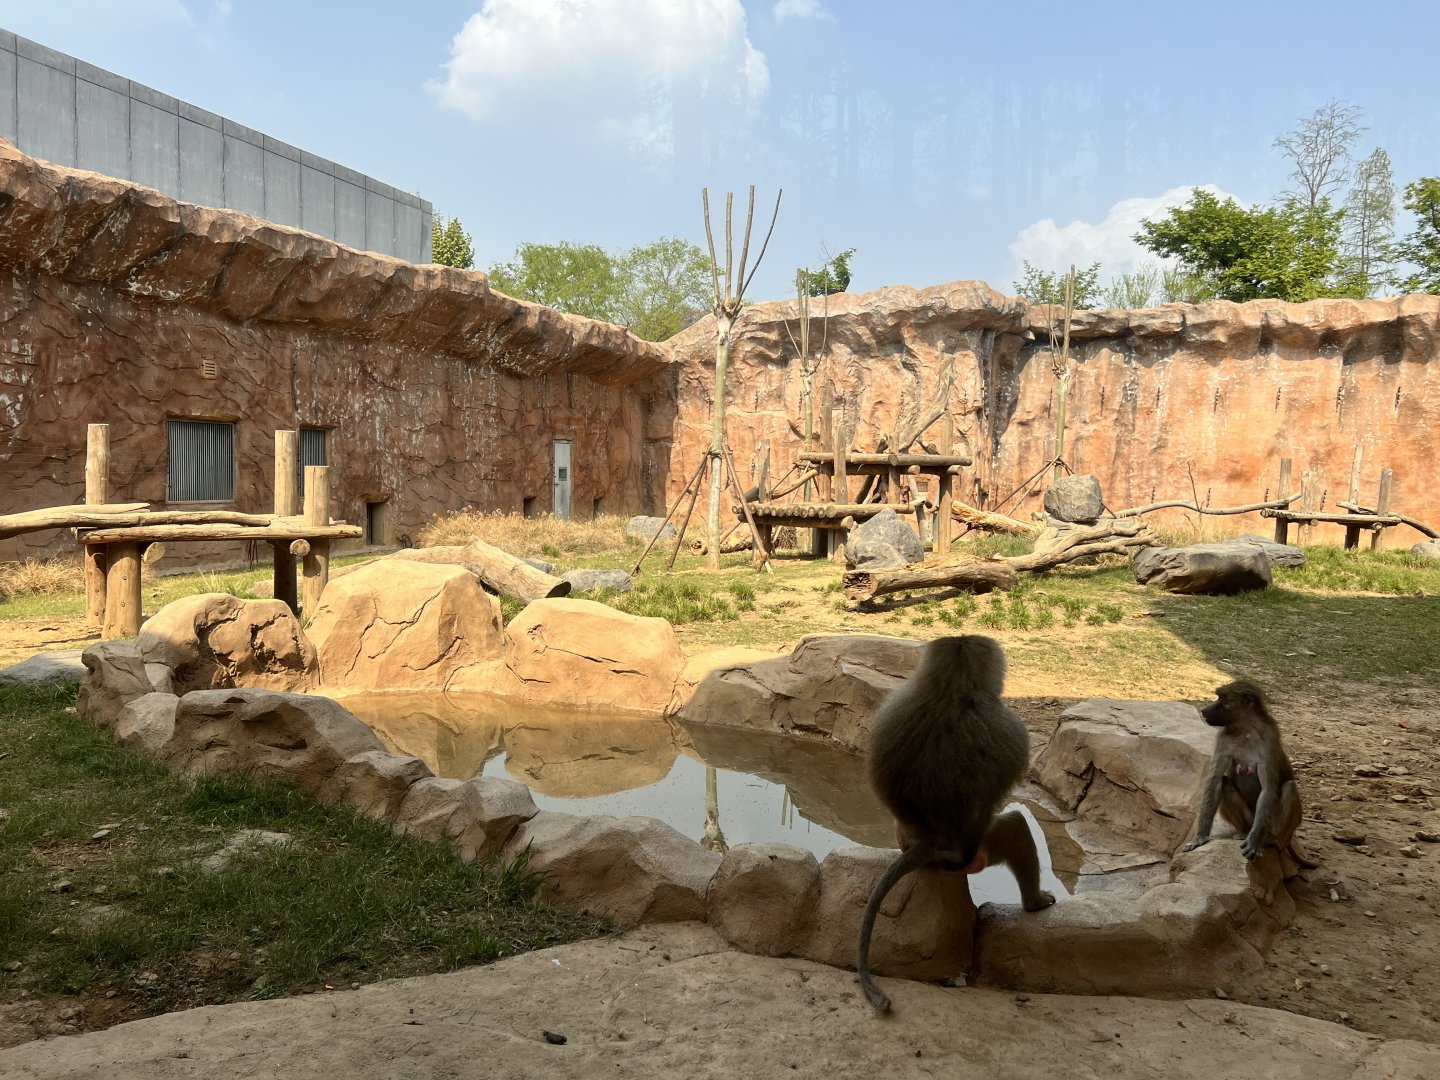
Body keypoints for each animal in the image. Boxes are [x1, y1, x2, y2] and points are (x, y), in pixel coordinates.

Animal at [857, 635, 1056, 1014]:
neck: (952, 691)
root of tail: (926, 844)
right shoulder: (1011, 729)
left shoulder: (893, 707)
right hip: (972, 855)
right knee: (1016, 828)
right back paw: (1035, 903)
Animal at [1182, 679, 1317, 875]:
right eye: (1218, 696)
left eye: (1224, 699)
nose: (1205, 710)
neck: (1246, 727)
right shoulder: (1223, 737)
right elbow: (1215, 780)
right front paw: (1200, 837)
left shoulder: (1269, 738)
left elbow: (1269, 789)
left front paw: (1253, 843)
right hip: (1249, 819)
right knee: (1225, 784)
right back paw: (1244, 833)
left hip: (1271, 824)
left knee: (1290, 788)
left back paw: (1272, 840)